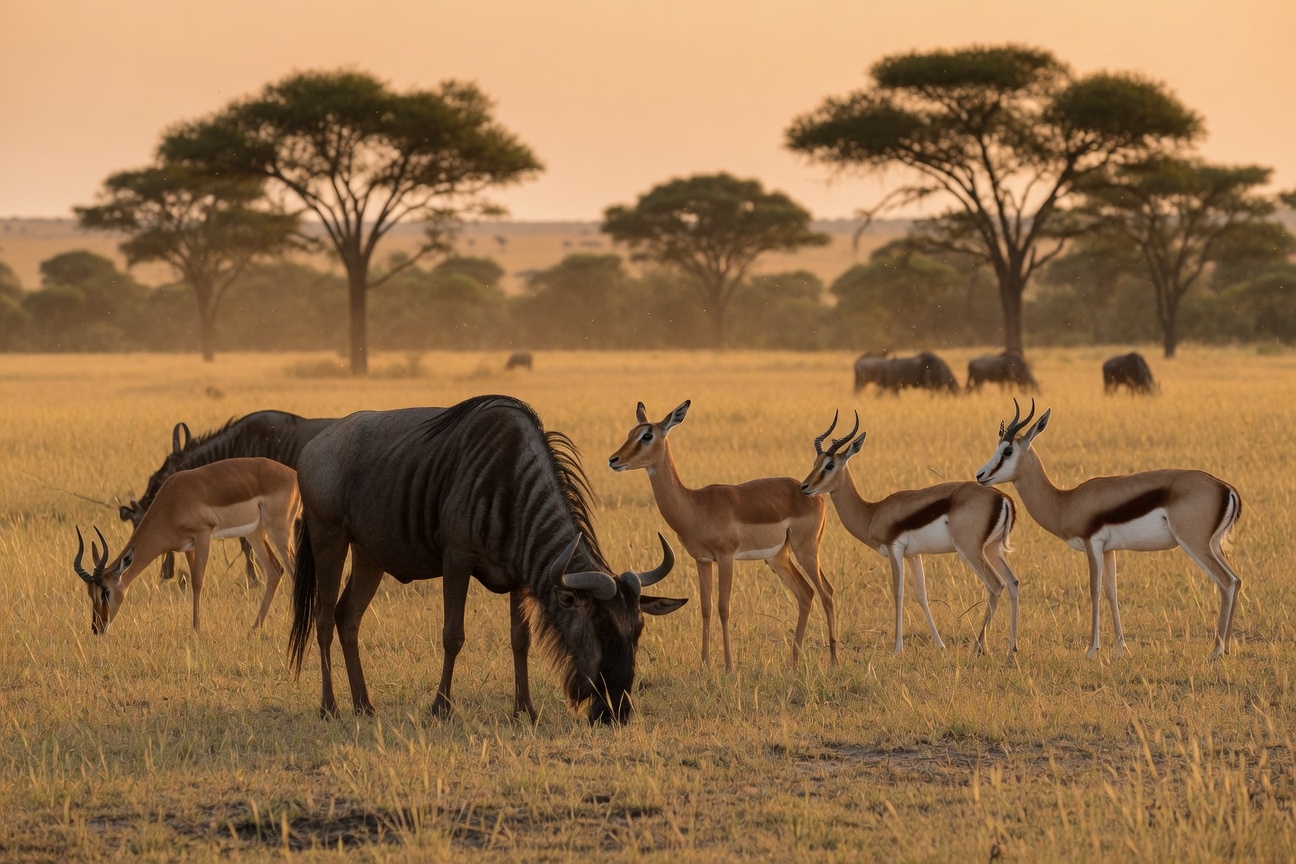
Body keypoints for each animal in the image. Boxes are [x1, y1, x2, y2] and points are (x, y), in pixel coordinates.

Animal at [73, 457, 299, 634]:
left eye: (105, 591)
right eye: (90, 593)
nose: (97, 628)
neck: (172, 500)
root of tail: (293, 475)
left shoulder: (203, 535)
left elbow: (198, 581)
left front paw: (196, 631)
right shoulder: (189, 546)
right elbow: (192, 582)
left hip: (278, 531)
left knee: (292, 570)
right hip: (255, 532)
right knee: (274, 571)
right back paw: (253, 631)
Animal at [608, 400, 837, 671]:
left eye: (647, 435)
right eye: (630, 433)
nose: (614, 460)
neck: (695, 505)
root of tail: (813, 492)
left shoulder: (726, 557)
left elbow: (723, 607)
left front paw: (729, 666)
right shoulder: (702, 560)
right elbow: (706, 608)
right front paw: (704, 664)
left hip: (807, 551)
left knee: (826, 593)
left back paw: (833, 661)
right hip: (778, 558)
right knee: (806, 594)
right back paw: (793, 662)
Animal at [801, 412, 1019, 655]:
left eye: (829, 465)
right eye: (815, 463)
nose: (805, 486)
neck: (872, 513)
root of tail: (1002, 497)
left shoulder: (894, 549)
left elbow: (898, 593)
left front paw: (897, 648)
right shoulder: (914, 555)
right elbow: (921, 595)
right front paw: (940, 645)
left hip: (971, 551)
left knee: (996, 585)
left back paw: (979, 647)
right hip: (991, 549)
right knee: (1012, 582)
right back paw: (1011, 649)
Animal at [976, 399, 1242, 660]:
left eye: (1007, 451)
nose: (980, 475)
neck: (1065, 502)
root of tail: (1226, 489)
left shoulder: (1091, 544)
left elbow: (1094, 590)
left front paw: (1091, 650)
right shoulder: (1108, 550)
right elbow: (1111, 591)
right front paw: (1120, 649)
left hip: (1195, 545)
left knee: (1225, 582)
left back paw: (1217, 650)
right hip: (1214, 546)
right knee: (1236, 580)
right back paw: (1228, 648)